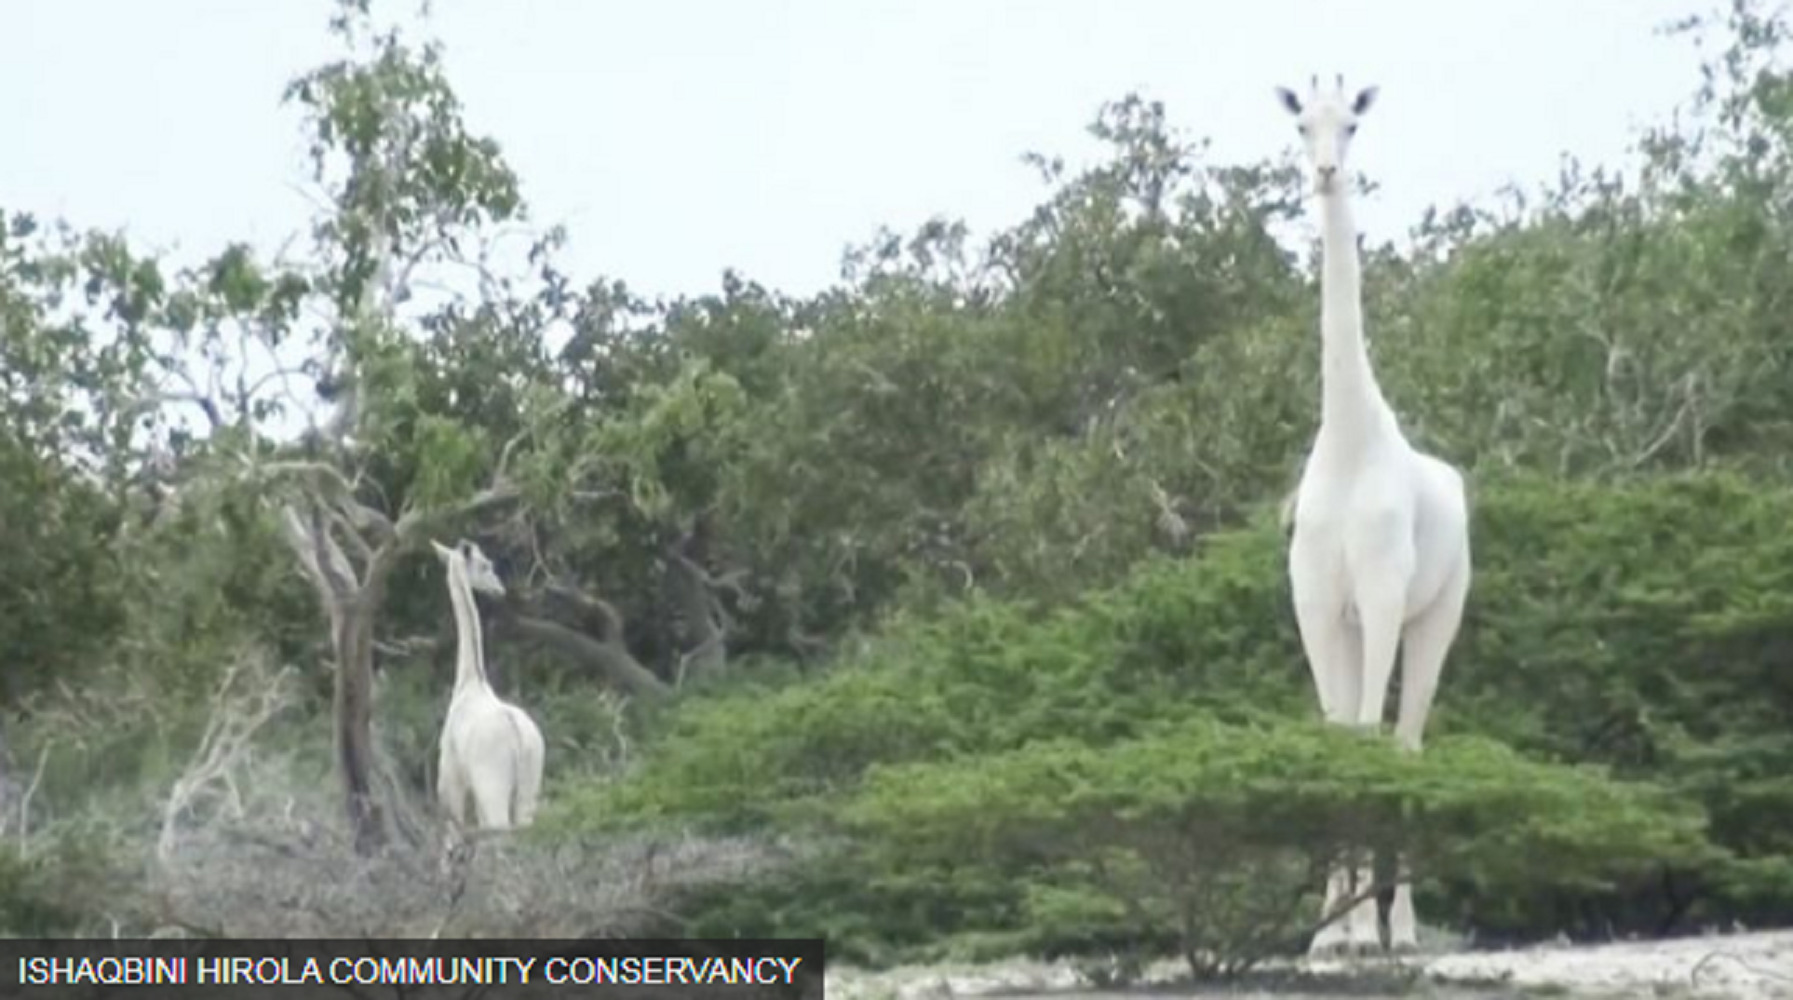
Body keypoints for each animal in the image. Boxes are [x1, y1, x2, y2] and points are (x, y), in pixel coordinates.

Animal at [433, 537, 545, 835]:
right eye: (485, 565)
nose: (499, 590)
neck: (469, 682)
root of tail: (518, 736)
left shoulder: (451, 780)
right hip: (529, 786)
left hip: (491, 784)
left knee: (500, 828)